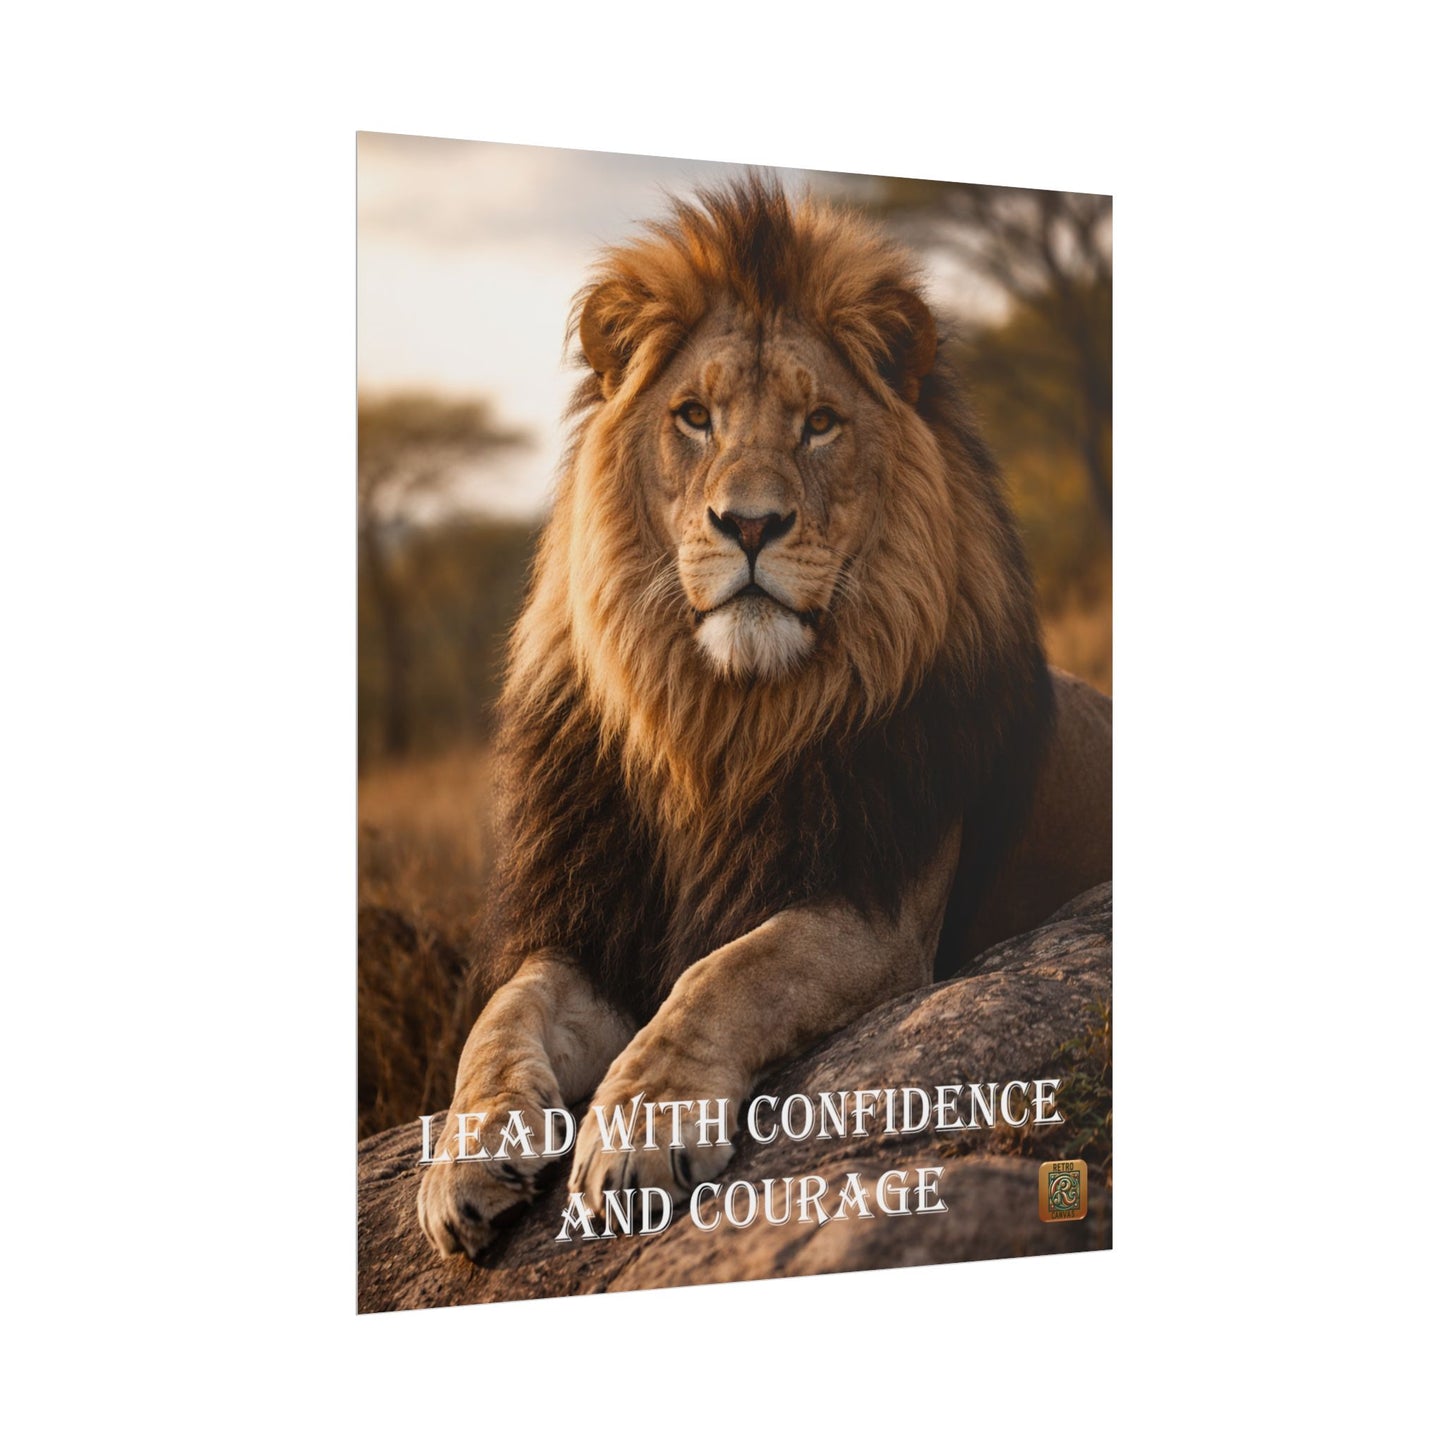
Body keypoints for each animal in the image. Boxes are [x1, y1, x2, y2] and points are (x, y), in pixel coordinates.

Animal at [417, 177, 1111, 1261]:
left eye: (819, 422)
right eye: (694, 417)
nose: (748, 523)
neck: (723, 724)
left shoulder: (873, 908)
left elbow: (728, 972)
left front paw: (640, 1129)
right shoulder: (596, 924)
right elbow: (501, 1011)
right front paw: (465, 1155)